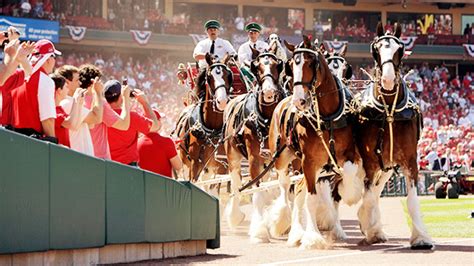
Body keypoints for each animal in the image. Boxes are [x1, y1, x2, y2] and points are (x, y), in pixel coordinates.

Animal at [174, 53, 233, 193]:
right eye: (210, 77)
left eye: (228, 76)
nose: (222, 101)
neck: (212, 129)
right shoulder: (195, 162)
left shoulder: (222, 166)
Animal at [223, 43, 286, 243]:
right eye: (256, 67)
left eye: (277, 65)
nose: (268, 92)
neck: (266, 119)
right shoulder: (253, 157)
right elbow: (256, 190)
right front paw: (259, 231)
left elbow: (282, 185)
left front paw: (278, 221)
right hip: (233, 155)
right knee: (236, 182)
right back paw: (234, 216)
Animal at [268, 36, 364, 248]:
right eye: (289, 66)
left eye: (311, 63)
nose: (299, 101)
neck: (327, 117)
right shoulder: (309, 161)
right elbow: (310, 199)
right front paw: (312, 237)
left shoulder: (347, 155)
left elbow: (346, 176)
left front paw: (349, 195)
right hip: (284, 158)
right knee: (286, 187)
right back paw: (287, 226)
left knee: (299, 190)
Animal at [352, 22, 434, 249]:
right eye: (376, 49)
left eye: (400, 49)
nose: (388, 80)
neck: (389, 111)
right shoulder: (370, 162)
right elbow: (369, 197)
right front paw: (371, 229)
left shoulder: (410, 160)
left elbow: (411, 200)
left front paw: (421, 238)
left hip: (388, 165)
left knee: (377, 190)